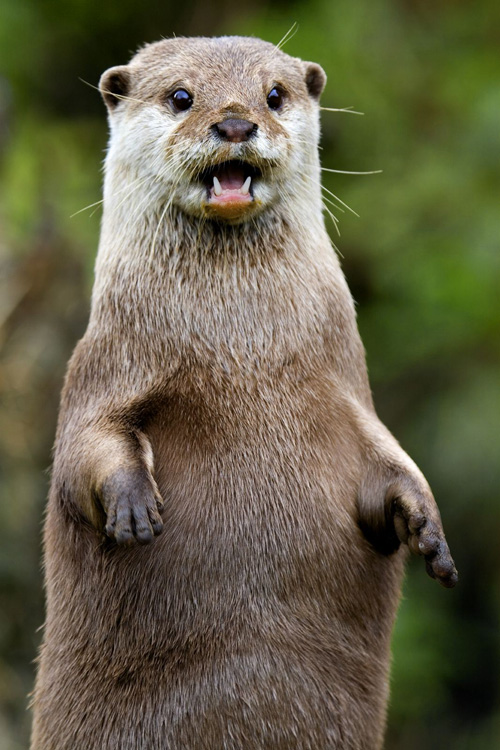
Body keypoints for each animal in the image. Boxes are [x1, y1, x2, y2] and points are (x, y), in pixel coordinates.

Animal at [31, 36, 457, 750]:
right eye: (181, 95)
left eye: (274, 94)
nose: (234, 122)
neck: (243, 353)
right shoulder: (104, 369)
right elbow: (85, 451)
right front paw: (132, 506)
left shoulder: (348, 390)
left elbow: (390, 460)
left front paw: (428, 528)